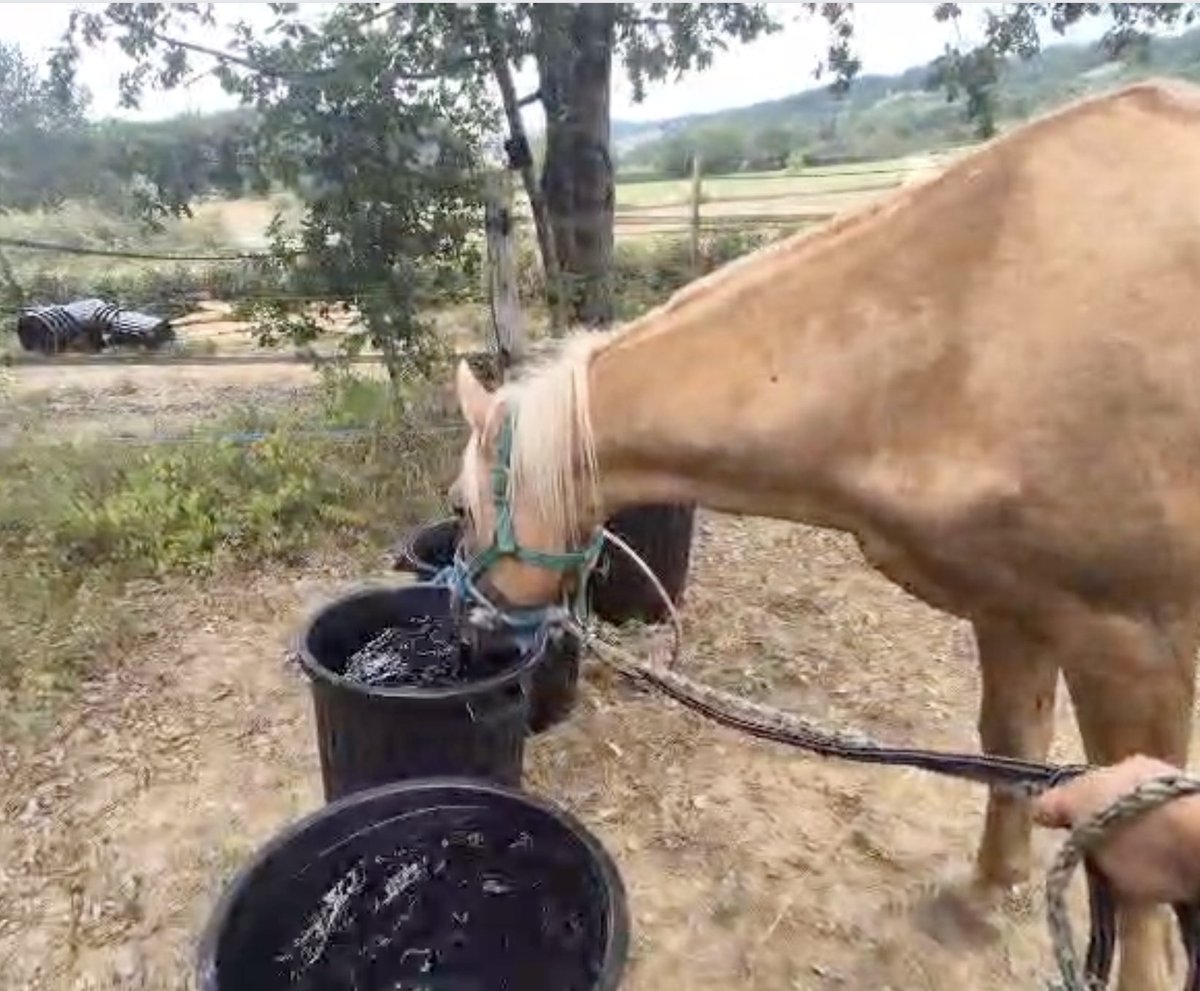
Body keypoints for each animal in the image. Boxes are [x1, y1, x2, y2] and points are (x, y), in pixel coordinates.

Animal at [447, 78, 1200, 990]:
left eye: (459, 508)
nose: (471, 637)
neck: (973, 322)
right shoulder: (1014, 607)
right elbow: (1010, 743)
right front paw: (988, 889)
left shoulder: (1134, 646)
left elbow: (1135, 863)